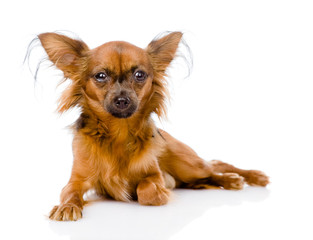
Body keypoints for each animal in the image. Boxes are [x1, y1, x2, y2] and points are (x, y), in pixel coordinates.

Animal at [33, 31, 268, 221]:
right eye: (100, 76)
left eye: (140, 75)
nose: (122, 100)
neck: (119, 132)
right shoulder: (75, 181)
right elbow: (69, 193)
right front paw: (67, 206)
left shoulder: (154, 175)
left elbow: (147, 190)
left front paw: (156, 192)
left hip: (188, 164)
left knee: (215, 164)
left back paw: (243, 177)